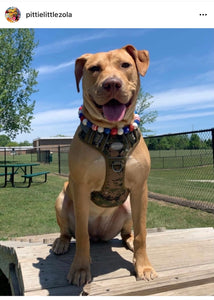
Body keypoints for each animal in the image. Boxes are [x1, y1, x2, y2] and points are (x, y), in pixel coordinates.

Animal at [51, 44, 157, 286]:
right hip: (61, 200)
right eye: (94, 69)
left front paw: (144, 266)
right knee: (68, 232)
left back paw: (128, 242)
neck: (113, 133)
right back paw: (61, 243)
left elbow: (142, 232)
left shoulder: (140, 188)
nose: (112, 84)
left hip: (128, 206)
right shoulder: (80, 187)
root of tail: (99, 234)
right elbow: (81, 235)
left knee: (128, 233)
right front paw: (80, 269)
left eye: (125, 65)